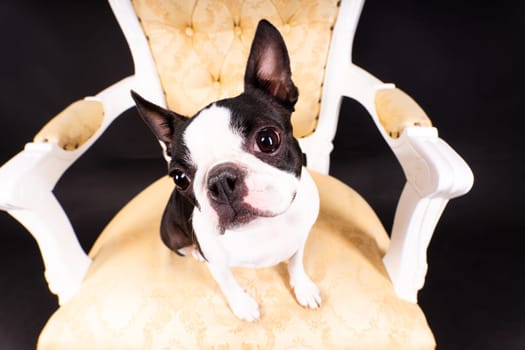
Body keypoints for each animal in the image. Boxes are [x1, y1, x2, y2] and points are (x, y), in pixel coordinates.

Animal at [131, 18, 320, 320]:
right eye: (179, 177)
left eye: (268, 140)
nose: (220, 182)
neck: (263, 228)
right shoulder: (217, 264)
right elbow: (228, 283)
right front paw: (243, 305)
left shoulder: (300, 238)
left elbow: (296, 263)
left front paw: (302, 287)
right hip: (170, 233)